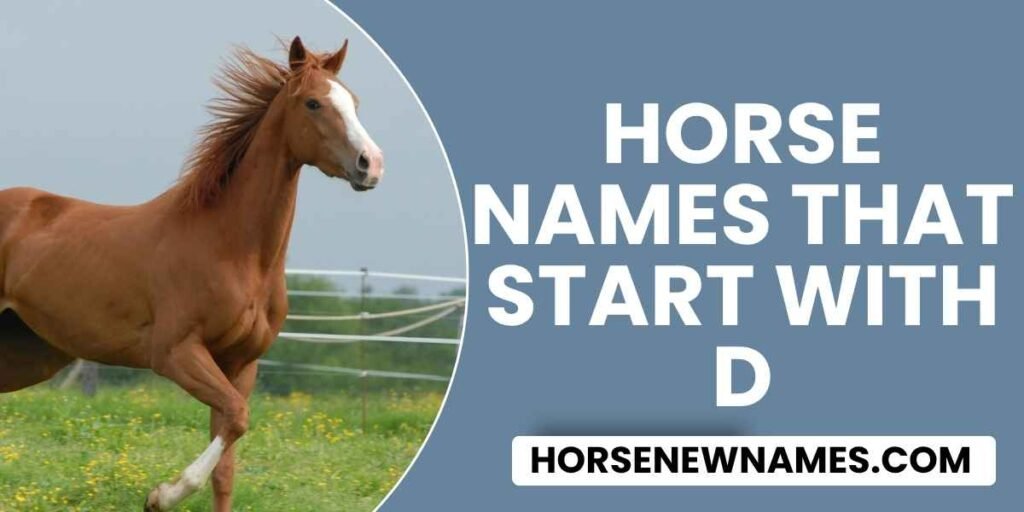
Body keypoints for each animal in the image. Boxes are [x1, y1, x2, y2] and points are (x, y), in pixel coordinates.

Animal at [0, 36, 383, 511]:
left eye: (354, 102)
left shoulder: (240, 364)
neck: (232, 250)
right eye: (313, 103)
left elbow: (227, 463)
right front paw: (161, 495)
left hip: (26, 353)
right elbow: (236, 418)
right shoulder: (175, 353)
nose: (371, 164)